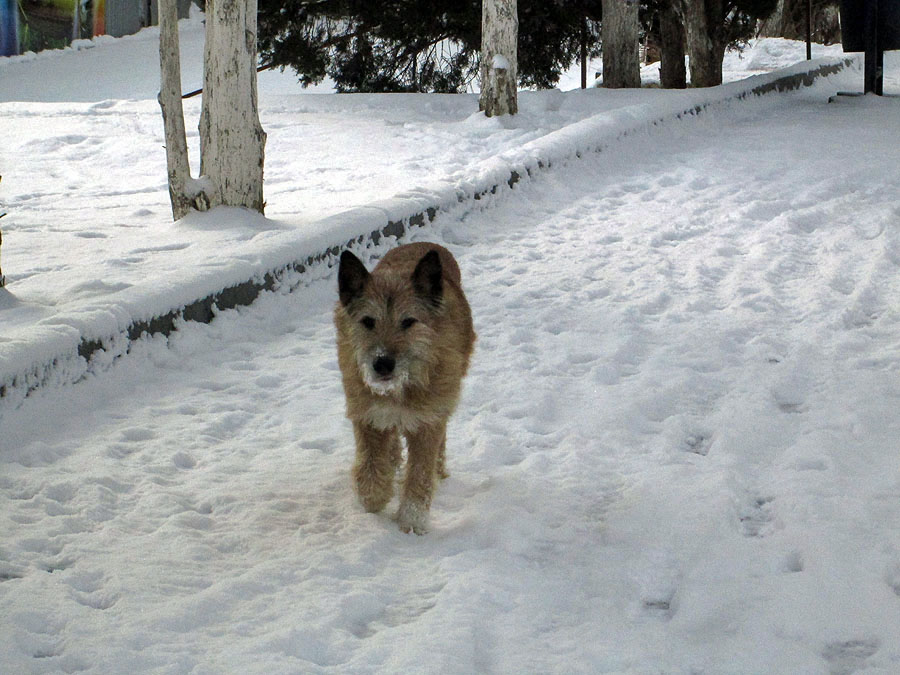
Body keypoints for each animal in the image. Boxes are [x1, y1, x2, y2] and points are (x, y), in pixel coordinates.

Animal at [336, 243, 474, 532]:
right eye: (368, 321)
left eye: (409, 321)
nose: (382, 363)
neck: (401, 386)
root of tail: (425, 244)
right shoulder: (369, 416)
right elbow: (370, 464)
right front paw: (374, 497)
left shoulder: (428, 420)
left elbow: (421, 472)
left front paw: (411, 520)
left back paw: (439, 471)